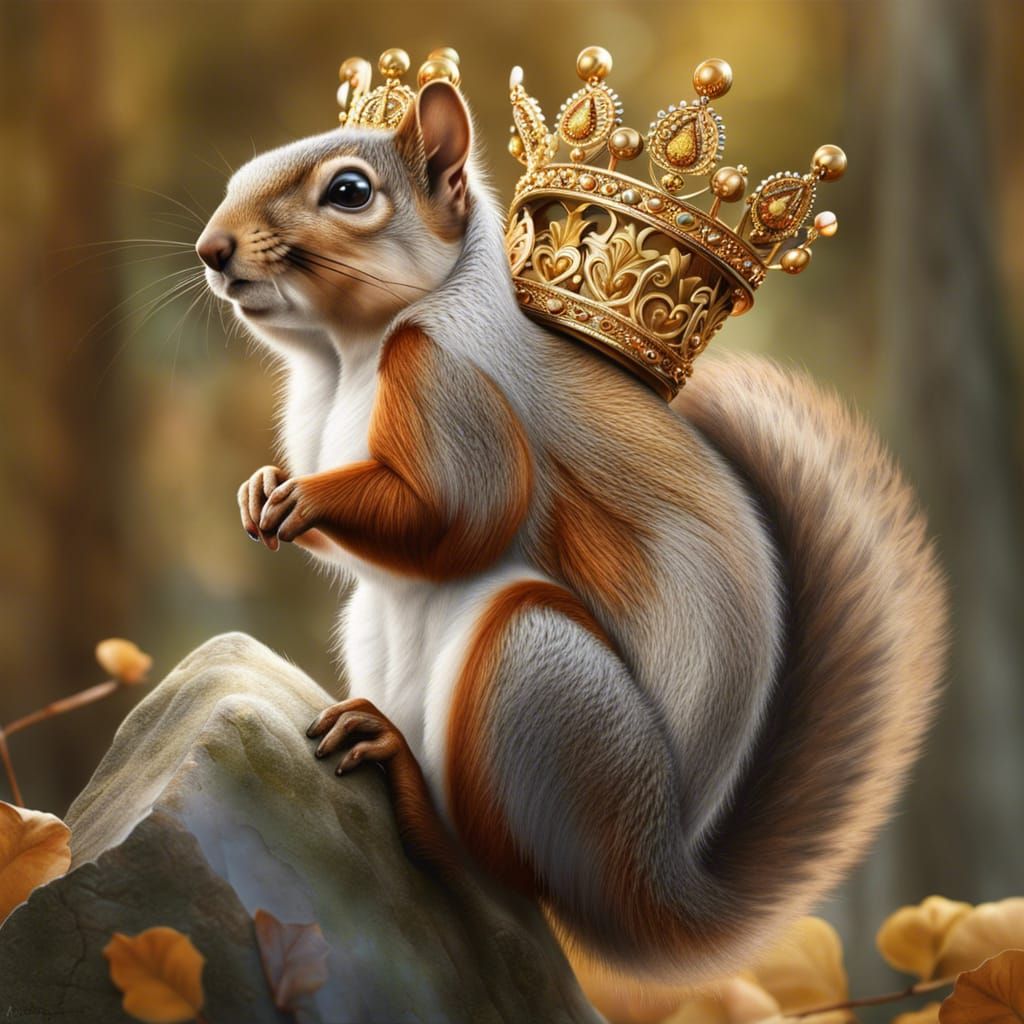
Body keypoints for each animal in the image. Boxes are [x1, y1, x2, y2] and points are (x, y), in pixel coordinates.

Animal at [196, 80, 947, 980]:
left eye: (349, 191)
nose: (211, 248)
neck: (347, 357)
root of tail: (649, 878)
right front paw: (262, 489)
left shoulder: (452, 389)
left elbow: (466, 514)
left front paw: (307, 498)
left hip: (540, 677)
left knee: (507, 880)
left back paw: (408, 780)